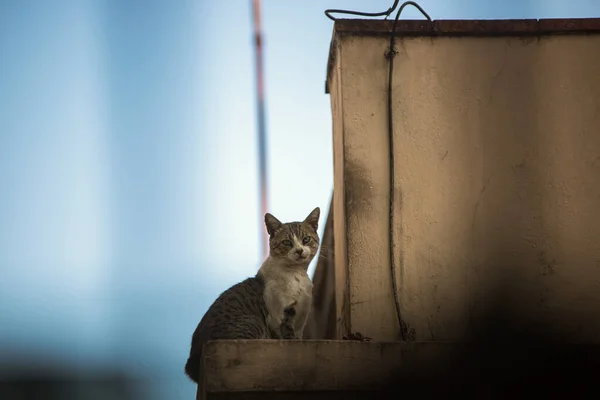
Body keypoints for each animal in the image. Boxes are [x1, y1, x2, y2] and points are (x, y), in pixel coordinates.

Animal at [185, 208, 322, 382]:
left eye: (306, 239)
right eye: (287, 242)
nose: (299, 251)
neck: (296, 275)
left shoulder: (300, 322)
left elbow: (297, 336)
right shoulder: (278, 316)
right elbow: (287, 335)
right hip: (251, 323)